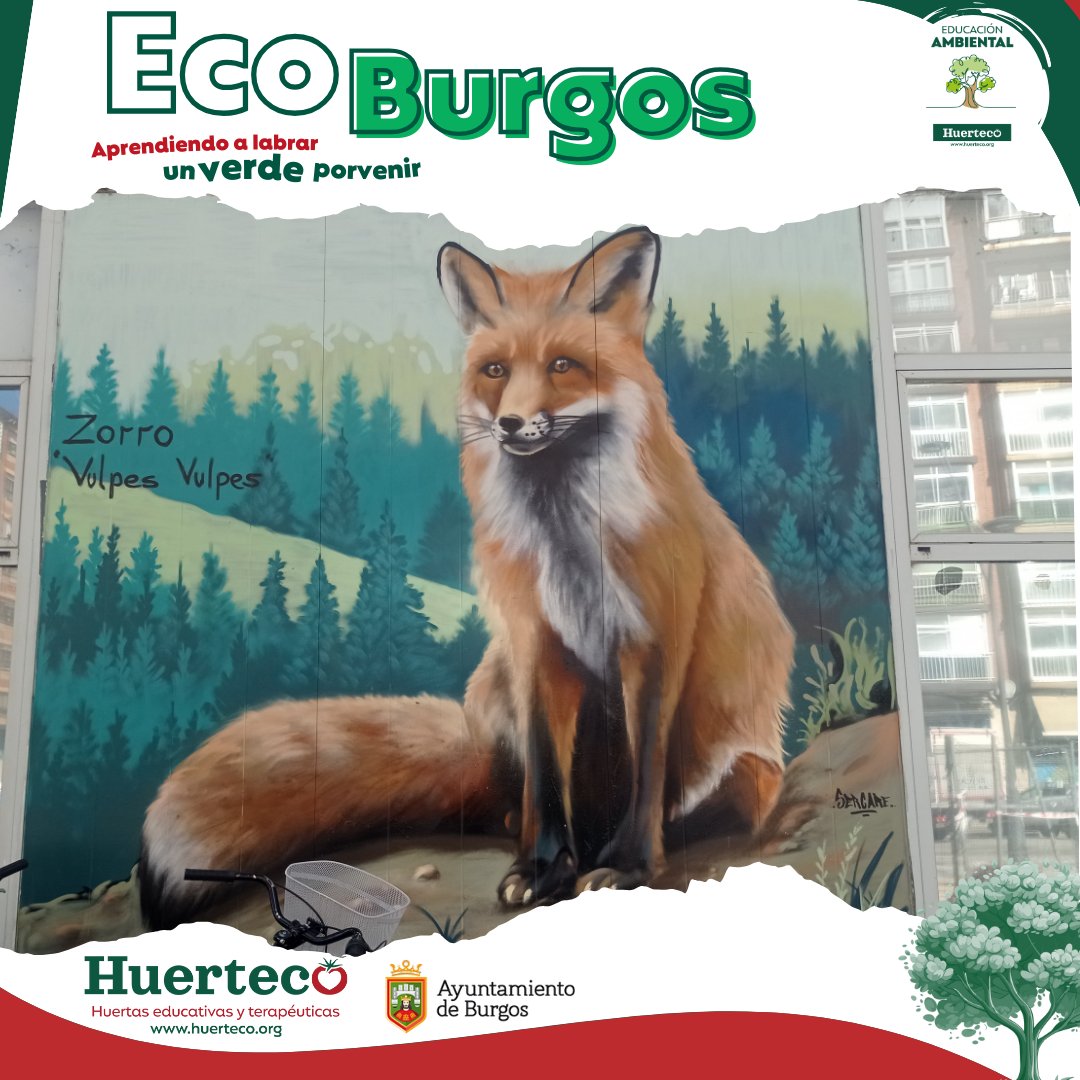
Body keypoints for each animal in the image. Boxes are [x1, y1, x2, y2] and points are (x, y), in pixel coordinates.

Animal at [140, 226, 795, 930]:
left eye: (563, 366)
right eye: (496, 371)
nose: (509, 423)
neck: (567, 544)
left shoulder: (655, 639)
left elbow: (648, 768)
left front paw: (627, 866)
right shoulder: (532, 639)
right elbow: (545, 776)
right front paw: (541, 868)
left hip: (739, 765)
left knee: (718, 796)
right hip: (496, 687)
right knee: (511, 802)